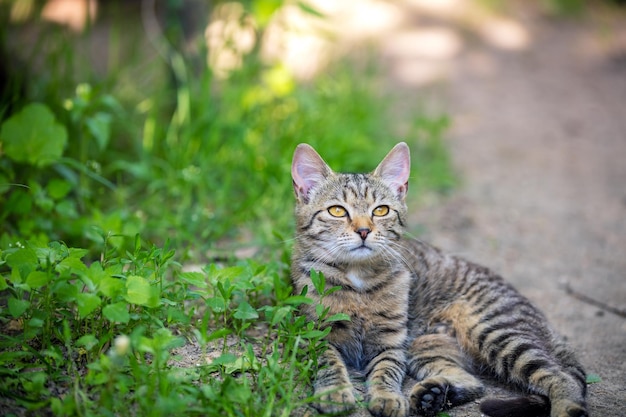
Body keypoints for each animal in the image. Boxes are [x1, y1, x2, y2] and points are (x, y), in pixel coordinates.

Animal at [288, 141, 584, 416]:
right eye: (337, 211)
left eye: (381, 210)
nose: (363, 231)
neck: (358, 280)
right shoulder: (315, 333)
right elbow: (328, 363)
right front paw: (334, 393)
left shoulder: (392, 342)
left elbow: (386, 370)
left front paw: (386, 396)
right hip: (426, 346)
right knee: (474, 383)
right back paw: (432, 395)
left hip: (496, 331)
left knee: (560, 377)